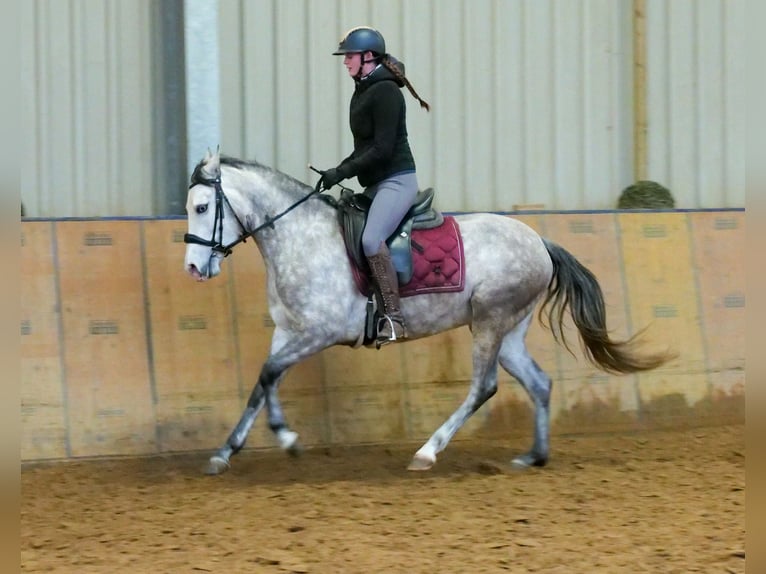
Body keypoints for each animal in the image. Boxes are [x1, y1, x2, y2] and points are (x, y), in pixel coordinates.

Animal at [183, 150, 676, 476]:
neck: (299, 235)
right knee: (538, 383)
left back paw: (427, 451)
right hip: (509, 330)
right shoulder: (288, 331)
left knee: (483, 387)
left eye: (203, 207)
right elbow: (264, 381)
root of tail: (539, 241)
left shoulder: (318, 332)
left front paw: (282, 438)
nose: (192, 268)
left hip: (489, 322)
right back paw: (533, 456)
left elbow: (269, 374)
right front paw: (228, 451)